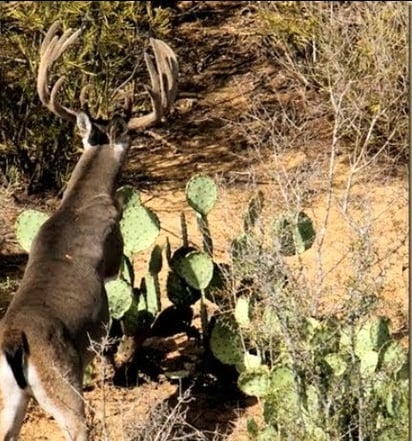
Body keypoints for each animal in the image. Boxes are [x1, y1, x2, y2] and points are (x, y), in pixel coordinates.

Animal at [0, 20, 177, 440]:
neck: (80, 202)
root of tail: (15, 339)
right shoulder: (113, 248)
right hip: (61, 376)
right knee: (78, 425)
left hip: (10, 392)